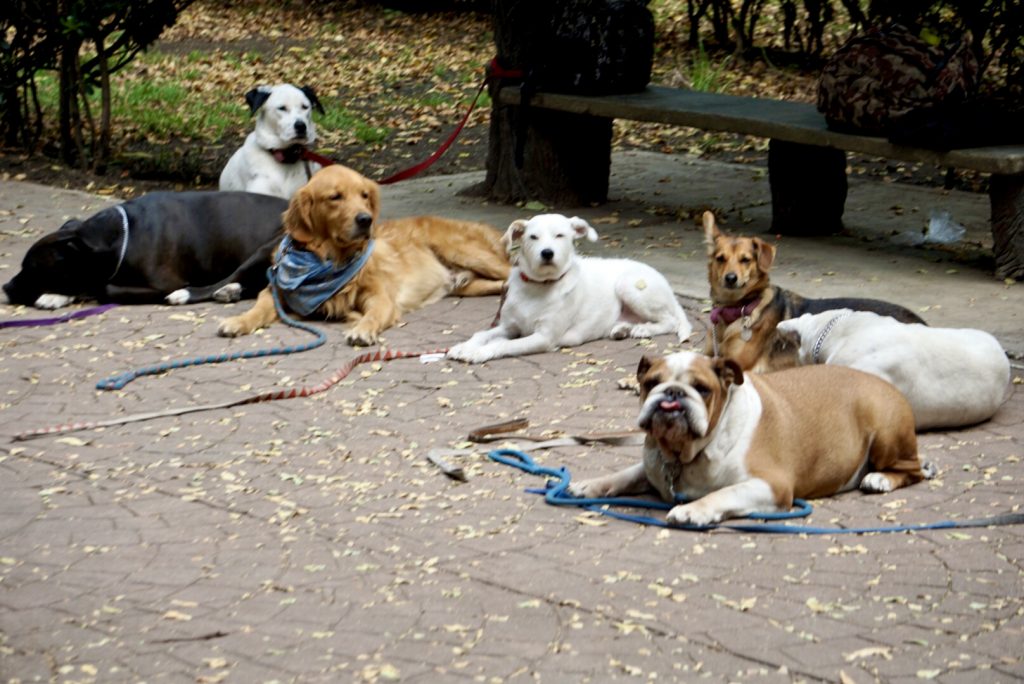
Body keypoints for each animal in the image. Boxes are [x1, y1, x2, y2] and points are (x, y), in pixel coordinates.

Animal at [4, 192, 286, 309]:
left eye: (33, 268)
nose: (5, 287)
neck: (123, 236)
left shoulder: (164, 283)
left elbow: (103, 288)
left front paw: (58, 295)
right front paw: (59, 296)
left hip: (266, 247)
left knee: (227, 279)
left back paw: (193, 294)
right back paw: (231, 292)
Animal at [446, 211, 692, 362]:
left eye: (560, 235)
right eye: (533, 237)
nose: (547, 253)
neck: (538, 286)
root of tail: (665, 283)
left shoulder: (544, 338)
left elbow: (503, 345)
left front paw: (478, 353)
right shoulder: (509, 326)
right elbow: (482, 334)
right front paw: (464, 346)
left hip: (629, 286)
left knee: (670, 321)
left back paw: (643, 329)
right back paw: (622, 329)